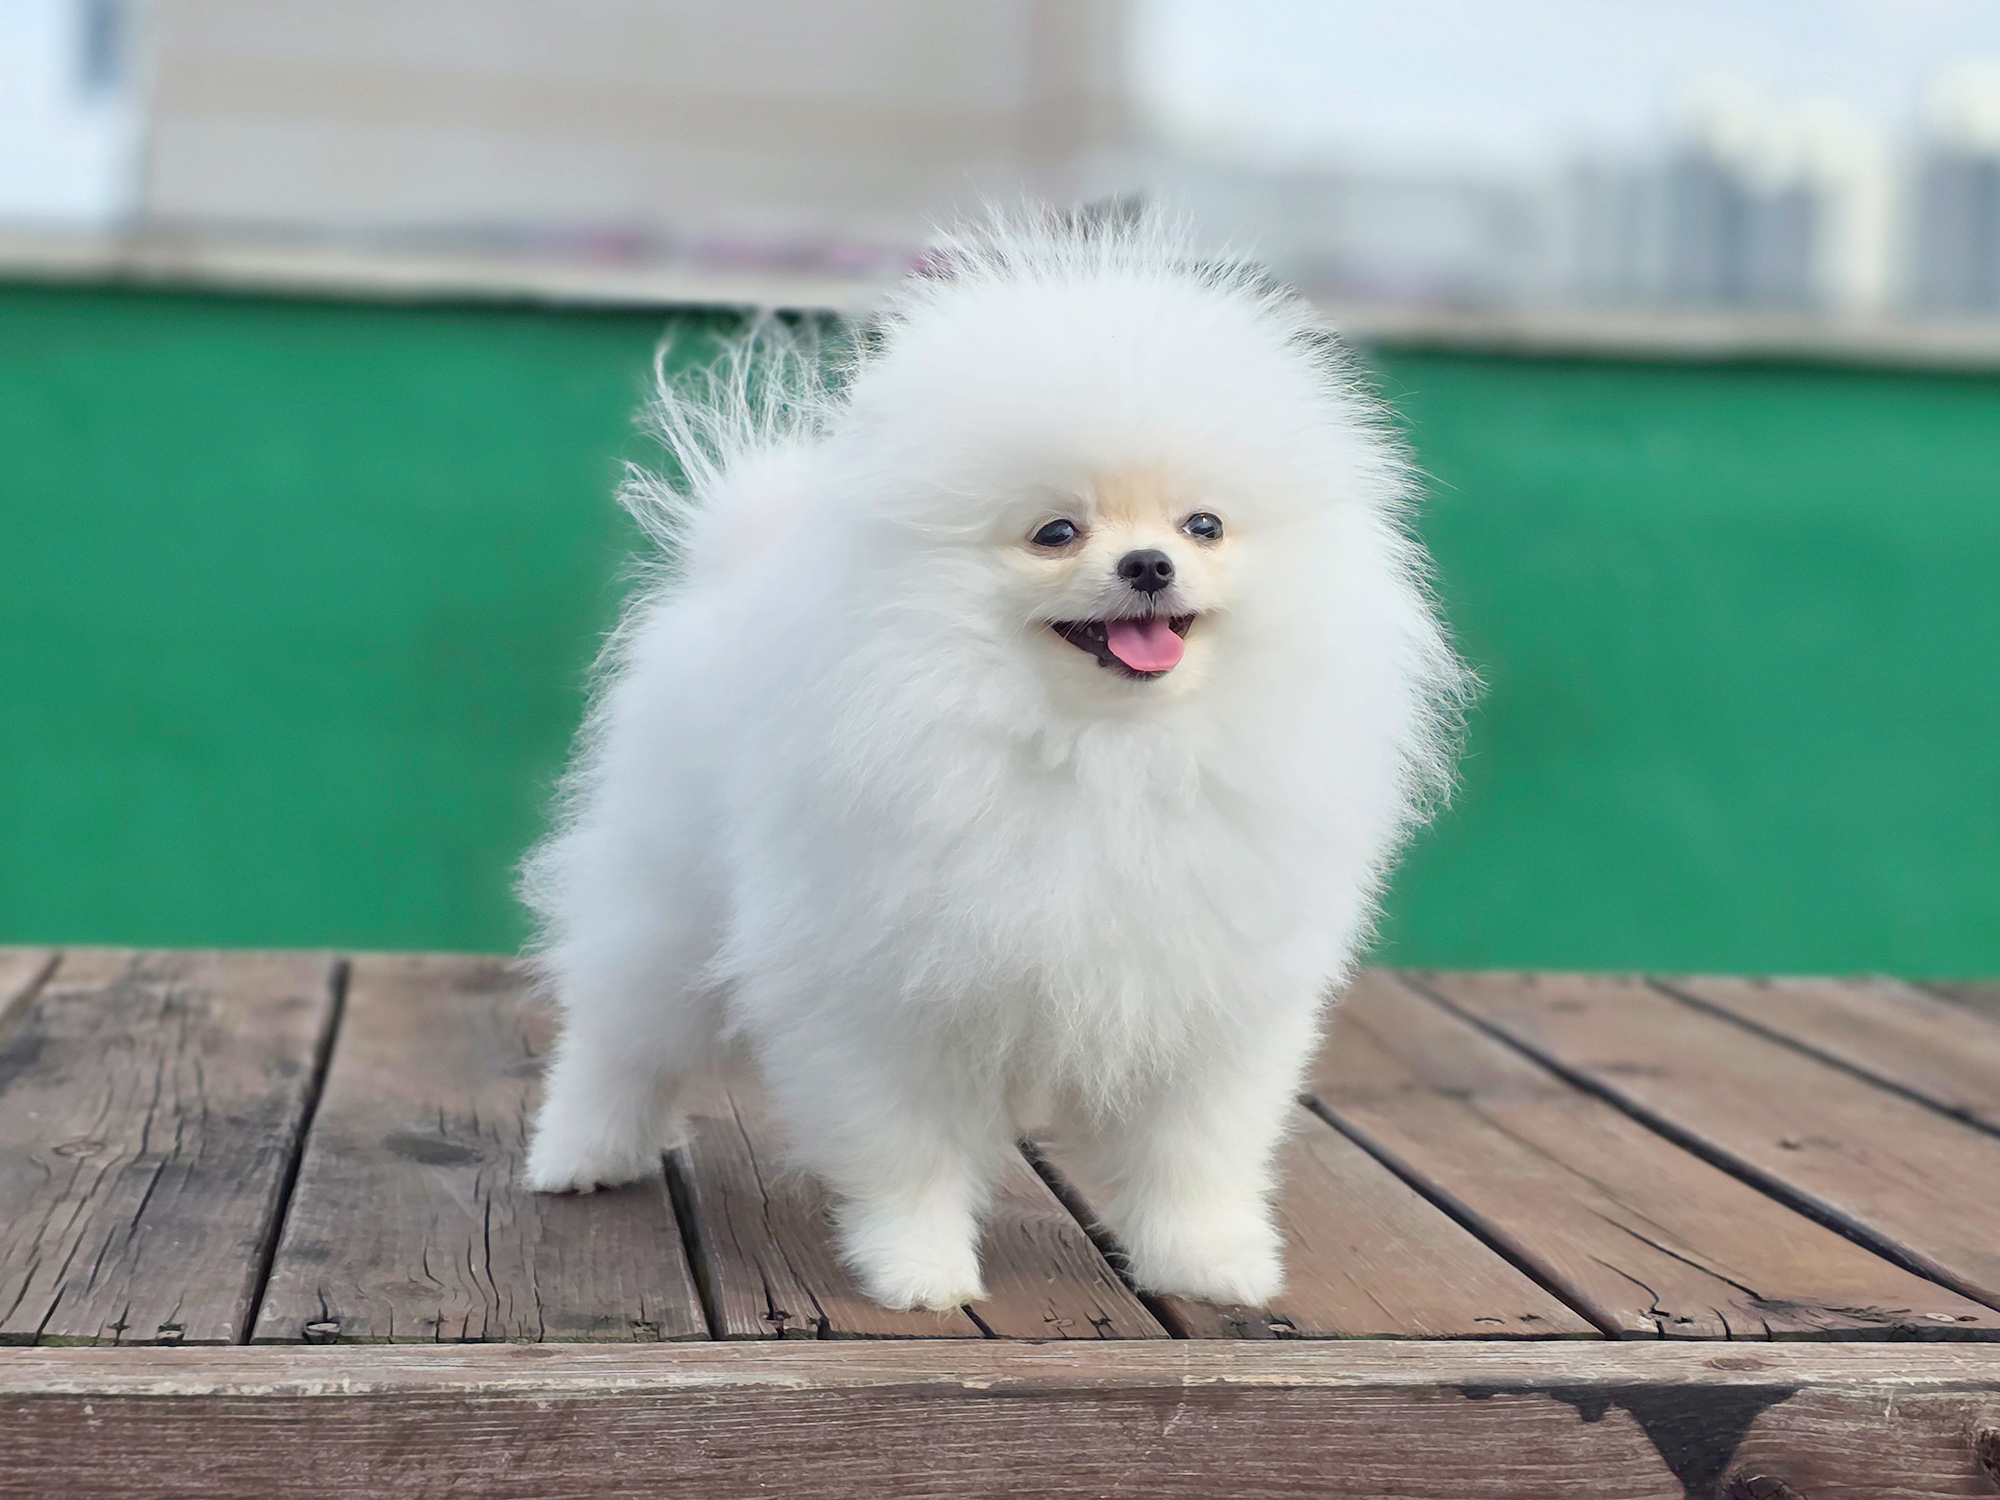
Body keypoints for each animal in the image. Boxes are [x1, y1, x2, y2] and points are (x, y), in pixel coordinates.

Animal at [521, 212, 1468, 1312]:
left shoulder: (1212, 994)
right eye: (1055, 531)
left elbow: (1194, 1150)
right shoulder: (884, 990)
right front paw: (917, 1268)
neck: (1103, 756)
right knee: (617, 1032)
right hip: (670, 902)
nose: (1149, 564)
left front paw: (1207, 1262)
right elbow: (908, 1150)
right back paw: (581, 1154)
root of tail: (733, 568)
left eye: (1203, 526)